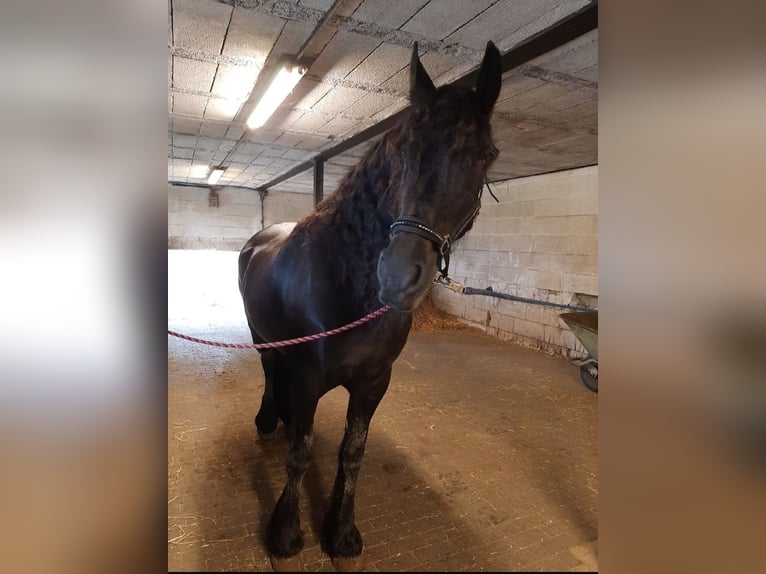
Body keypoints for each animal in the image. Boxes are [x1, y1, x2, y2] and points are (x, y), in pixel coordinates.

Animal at [240, 40, 504, 572]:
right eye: (401, 147)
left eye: (486, 155)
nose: (398, 275)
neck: (341, 281)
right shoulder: (307, 378)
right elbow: (300, 454)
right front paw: (286, 533)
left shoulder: (374, 382)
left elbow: (352, 453)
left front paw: (342, 533)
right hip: (261, 339)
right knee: (269, 371)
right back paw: (267, 419)